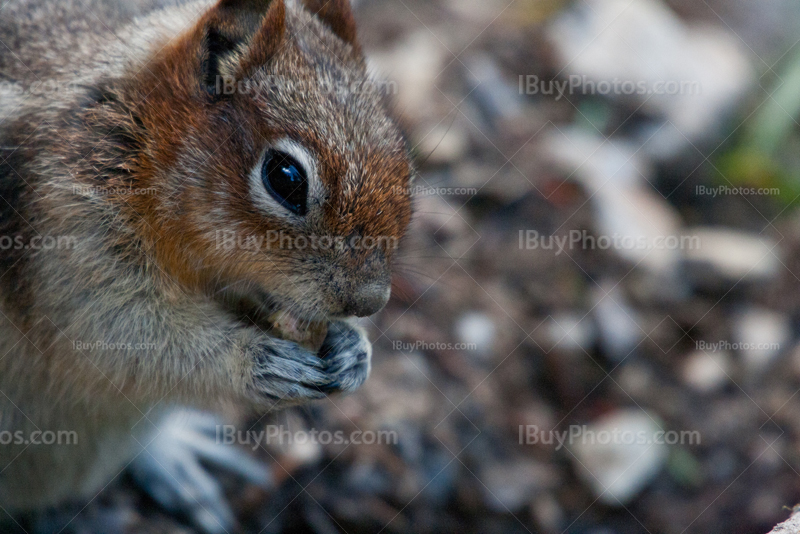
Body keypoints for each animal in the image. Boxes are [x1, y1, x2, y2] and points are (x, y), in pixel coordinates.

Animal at [0, 0, 412, 532]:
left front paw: (354, 351)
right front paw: (257, 361)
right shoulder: (64, 234)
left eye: (403, 157)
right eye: (285, 178)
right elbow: (121, 336)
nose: (368, 301)